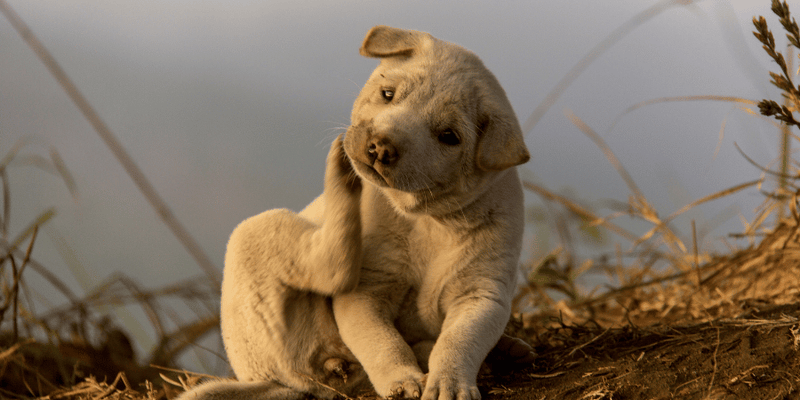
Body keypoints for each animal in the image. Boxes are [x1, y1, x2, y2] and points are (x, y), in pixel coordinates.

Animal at [180, 25, 532, 400]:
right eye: (388, 94)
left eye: (448, 136)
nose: (379, 148)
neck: (426, 218)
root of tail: (276, 384)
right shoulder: (365, 292)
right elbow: (383, 342)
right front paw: (403, 381)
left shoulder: (482, 294)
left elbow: (459, 341)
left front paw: (449, 384)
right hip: (257, 237)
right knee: (328, 265)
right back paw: (340, 175)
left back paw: (505, 352)